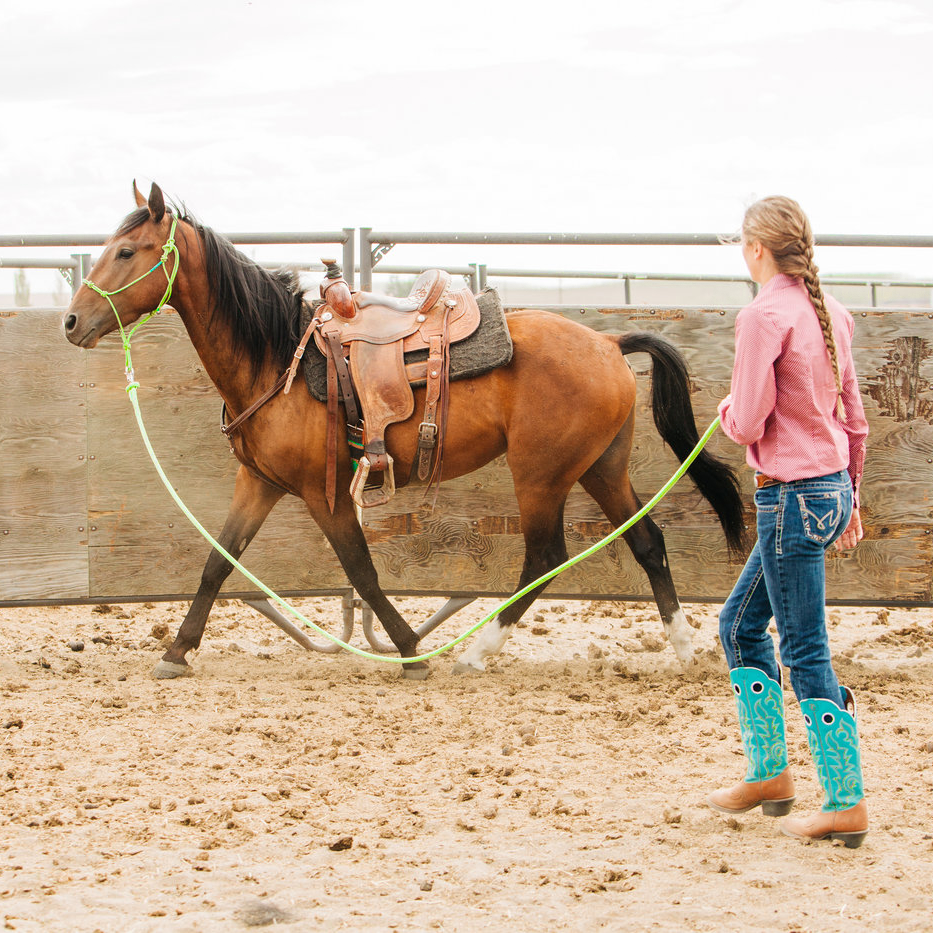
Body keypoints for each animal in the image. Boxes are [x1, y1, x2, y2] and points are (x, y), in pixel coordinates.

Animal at [63, 182, 744, 676]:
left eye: (127, 251)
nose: (71, 321)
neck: (278, 360)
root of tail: (607, 343)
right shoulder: (258, 483)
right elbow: (217, 562)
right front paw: (177, 650)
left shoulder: (324, 495)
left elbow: (362, 571)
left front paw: (411, 648)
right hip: (600, 466)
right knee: (647, 540)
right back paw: (683, 649)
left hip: (542, 473)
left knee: (546, 555)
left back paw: (477, 652)